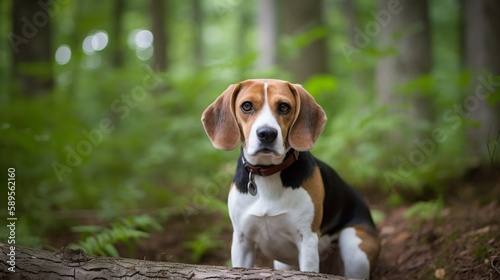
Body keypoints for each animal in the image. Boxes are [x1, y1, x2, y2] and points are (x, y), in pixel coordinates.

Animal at [201, 78, 380, 278]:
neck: (268, 173)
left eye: (284, 107)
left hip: (355, 249)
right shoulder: (242, 241)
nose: (267, 133)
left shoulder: (307, 239)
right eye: (246, 106)